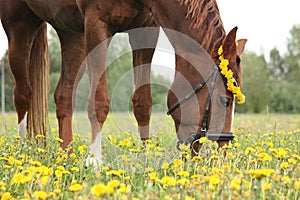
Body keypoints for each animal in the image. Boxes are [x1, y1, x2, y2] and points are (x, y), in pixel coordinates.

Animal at [0, 0, 159, 155]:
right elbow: (98, 101)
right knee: (22, 95)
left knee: (64, 96)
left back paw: (66, 157)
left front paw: (143, 158)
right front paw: (94, 160)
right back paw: (22, 149)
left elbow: (143, 102)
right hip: (19, 27)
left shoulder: (147, 29)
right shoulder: (97, 23)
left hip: (73, 35)